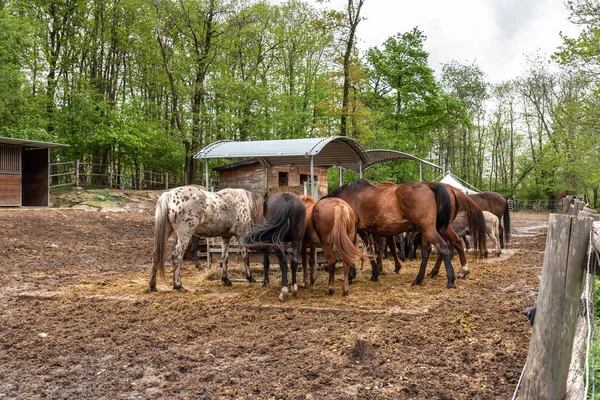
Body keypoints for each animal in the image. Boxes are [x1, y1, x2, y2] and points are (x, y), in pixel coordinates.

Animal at [322, 179, 486, 288]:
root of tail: (430, 185)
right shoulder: (364, 231)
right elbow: (369, 251)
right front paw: (374, 274)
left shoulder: (355, 229)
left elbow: (351, 251)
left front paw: (351, 276)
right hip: (439, 228)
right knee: (448, 245)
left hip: (430, 229)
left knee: (443, 247)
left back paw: (450, 280)